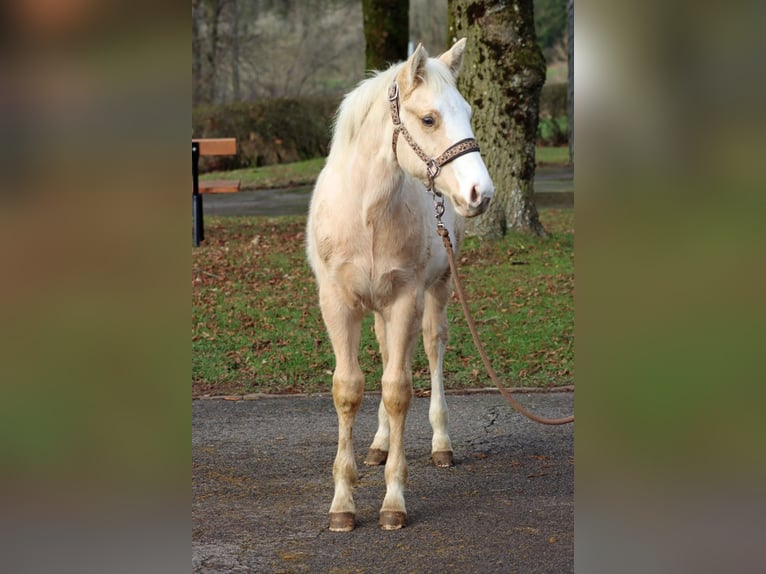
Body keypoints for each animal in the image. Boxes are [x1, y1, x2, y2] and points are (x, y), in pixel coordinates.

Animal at [306, 38, 494, 531]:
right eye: (428, 119)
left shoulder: (407, 299)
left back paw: (440, 444)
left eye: (469, 112)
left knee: (429, 348)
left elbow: (397, 390)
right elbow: (348, 389)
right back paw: (379, 442)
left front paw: (393, 501)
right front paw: (343, 503)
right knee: (389, 352)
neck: (366, 213)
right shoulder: (338, 304)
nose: (481, 194)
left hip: (436, 291)